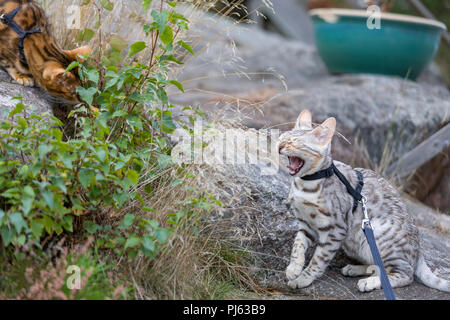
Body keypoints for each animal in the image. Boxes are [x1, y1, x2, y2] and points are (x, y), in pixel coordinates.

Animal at [278, 109, 450, 292]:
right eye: (282, 138)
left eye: (295, 142)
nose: (279, 146)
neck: (306, 184)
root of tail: (419, 250)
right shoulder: (306, 225)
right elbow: (298, 245)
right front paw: (293, 268)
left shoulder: (335, 229)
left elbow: (318, 259)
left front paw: (304, 278)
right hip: (355, 243)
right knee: (379, 266)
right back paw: (358, 269)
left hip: (379, 237)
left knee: (405, 274)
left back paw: (370, 282)